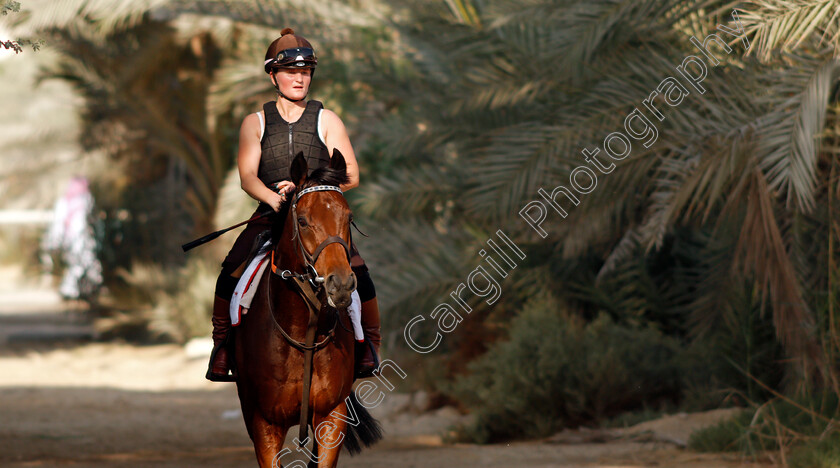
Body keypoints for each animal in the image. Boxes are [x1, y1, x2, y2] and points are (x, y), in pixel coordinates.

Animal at [235, 152, 382, 466]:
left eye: (349, 218)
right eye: (302, 221)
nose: (340, 283)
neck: (302, 329)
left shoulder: (332, 415)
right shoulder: (263, 423)